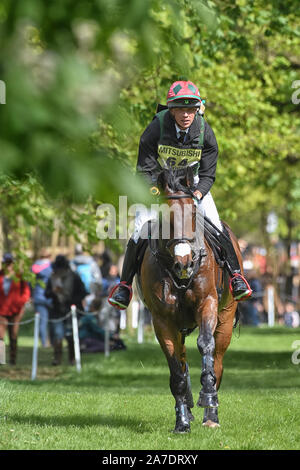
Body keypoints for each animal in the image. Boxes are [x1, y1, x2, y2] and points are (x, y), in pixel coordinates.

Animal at [137, 167, 240, 432]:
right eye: (165, 217)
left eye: (193, 213)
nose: (184, 263)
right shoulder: (162, 320)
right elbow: (176, 369)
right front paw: (182, 421)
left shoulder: (208, 304)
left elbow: (205, 345)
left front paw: (209, 397)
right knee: (183, 361)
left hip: (226, 317)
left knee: (217, 359)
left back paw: (211, 414)